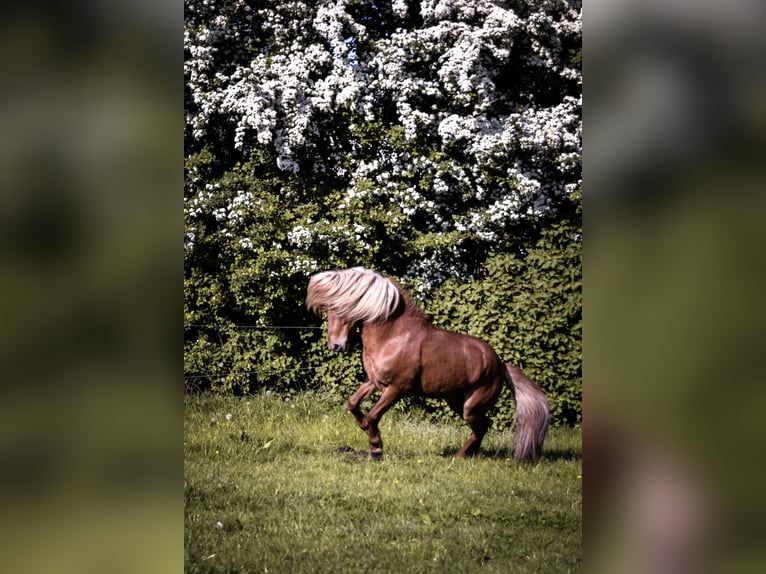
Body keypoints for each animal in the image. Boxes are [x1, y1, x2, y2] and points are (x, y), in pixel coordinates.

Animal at [308, 266, 552, 464]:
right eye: (329, 310)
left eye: (342, 309)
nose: (336, 346)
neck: (392, 336)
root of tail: (500, 364)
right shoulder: (374, 382)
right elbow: (353, 404)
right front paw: (367, 433)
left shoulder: (396, 389)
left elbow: (374, 415)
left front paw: (376, 448)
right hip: (457, 402)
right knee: (484, 425)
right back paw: (468, 455)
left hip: (471, 406)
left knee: (481, 426)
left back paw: (459, 457)